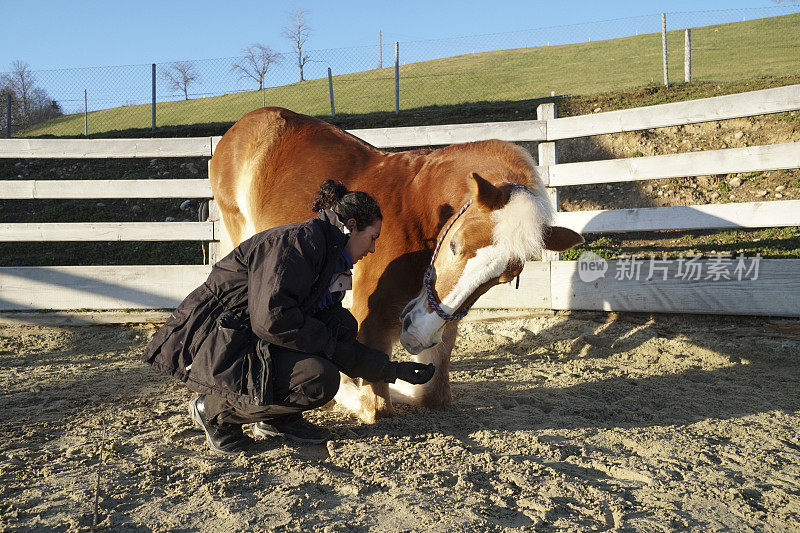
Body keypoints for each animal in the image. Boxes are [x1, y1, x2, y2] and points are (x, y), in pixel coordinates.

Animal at [208, 108, 580, 422]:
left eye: (503, 279)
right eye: (455, 245)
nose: (417, 334)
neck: (421, 213)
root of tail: (245, 124)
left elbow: (431, 394)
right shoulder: (370, 319)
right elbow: (374, 403)